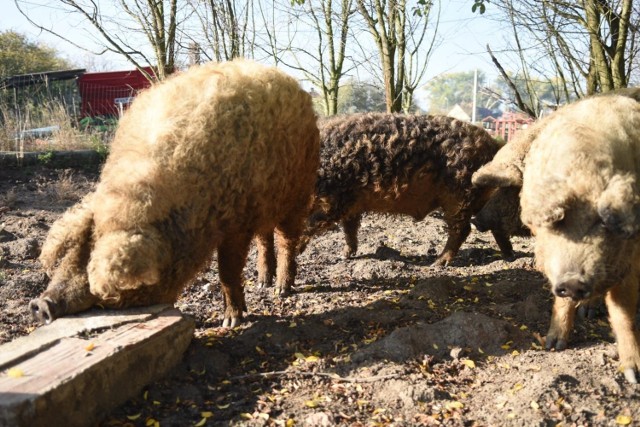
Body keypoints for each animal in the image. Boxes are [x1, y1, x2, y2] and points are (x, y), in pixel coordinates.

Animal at [30, 58, 320, 328]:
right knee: (264, 237)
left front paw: (231, 322)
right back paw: (262, 282)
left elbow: (227, 271)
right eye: (75, 252)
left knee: (286, 240)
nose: (40, 305)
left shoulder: (237, 224)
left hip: (297, 191)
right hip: (266, 200)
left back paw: (281, 290)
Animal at [298, 113, 502, 268]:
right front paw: (346, 254)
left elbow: (312, 224)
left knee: (462, 229)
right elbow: (349, 228)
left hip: (459, 194)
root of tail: (493, 145)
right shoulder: (351, 203)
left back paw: (437, 263)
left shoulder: (336, 200)